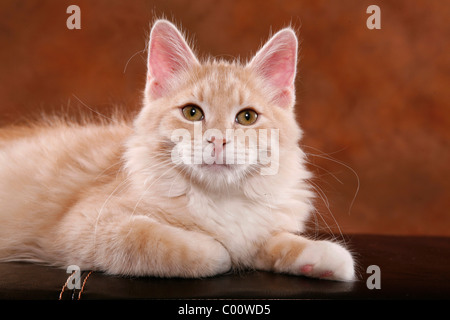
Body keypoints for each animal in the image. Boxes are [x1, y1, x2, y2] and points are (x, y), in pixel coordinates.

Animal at [0, 19, 356, 280]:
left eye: (247, 117)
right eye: (192, 113)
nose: (217, 140)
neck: (219, 198)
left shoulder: (263, 226)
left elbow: (276, 240)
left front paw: (323, 255)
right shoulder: (84, 226)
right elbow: (174, 243)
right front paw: (219, 250)